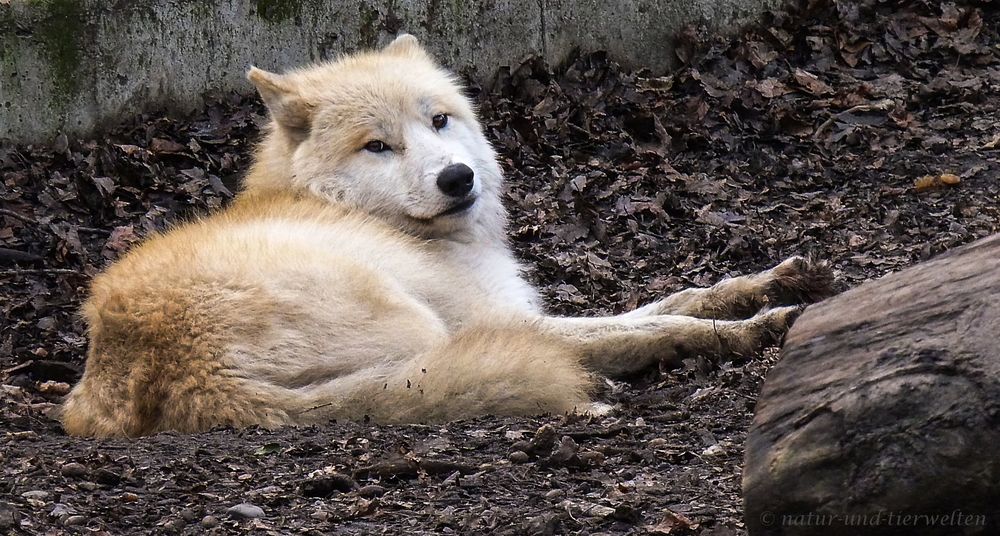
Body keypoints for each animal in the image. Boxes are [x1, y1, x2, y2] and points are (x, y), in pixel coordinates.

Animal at [58, 33, 832, 438]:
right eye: (378, 146)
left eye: (438, 121)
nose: (457, 178)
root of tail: (183, 376)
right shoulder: (505, 320)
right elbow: (655, 326)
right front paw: (755, 328)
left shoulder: (519, 308)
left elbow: (679, 297)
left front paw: (768, 283)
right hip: (425, 332)